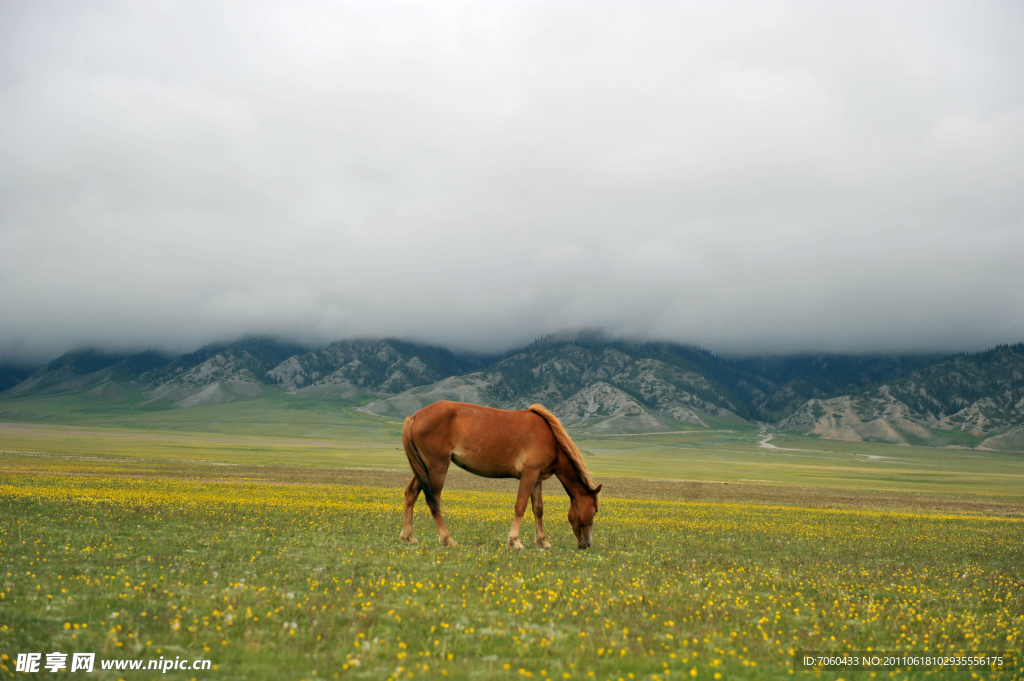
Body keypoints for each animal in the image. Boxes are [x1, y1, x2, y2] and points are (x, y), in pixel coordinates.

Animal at [397, 401, 598, 548]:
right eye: (595, 510)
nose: (587, 544)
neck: (551, 439)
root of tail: (414, 417)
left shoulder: (537, 479)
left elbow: (538, 509)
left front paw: (543, 542)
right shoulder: (529, 474)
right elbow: (520, 506)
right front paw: (514, 541)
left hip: (423, 469)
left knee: (411, 494)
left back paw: (408, 537)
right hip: (437, 467)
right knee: (434, 500)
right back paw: (447, 539)